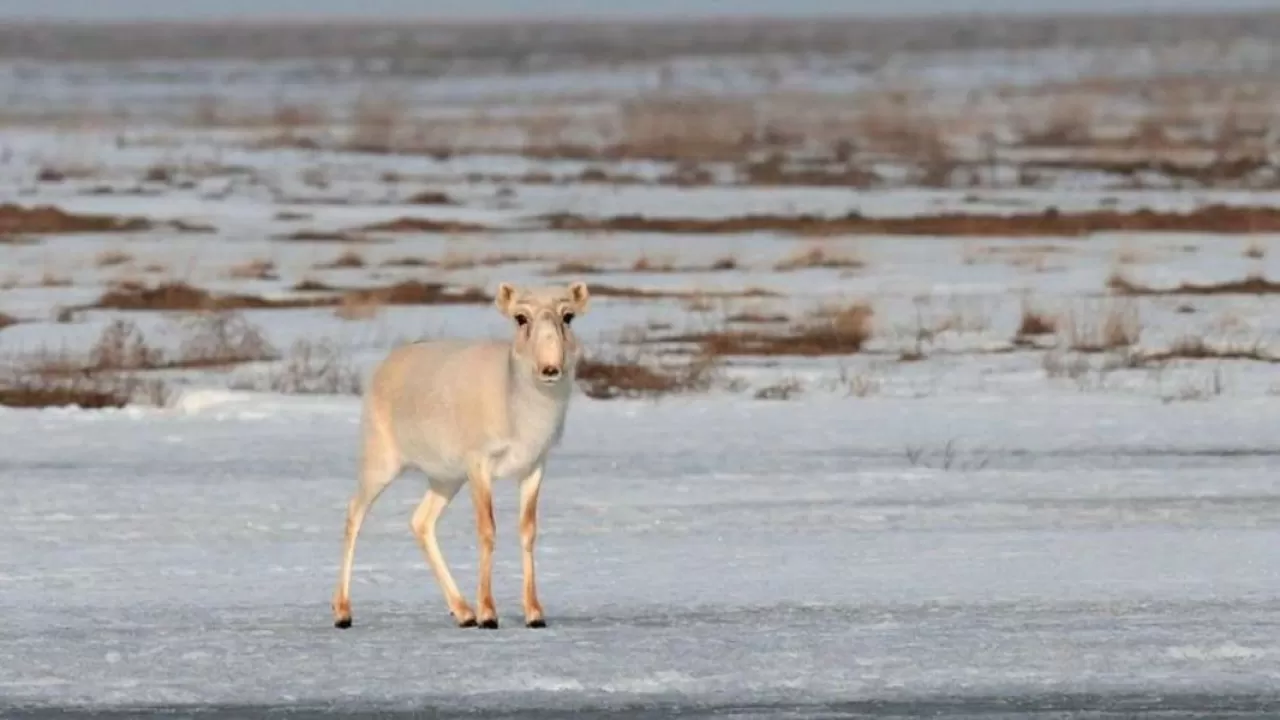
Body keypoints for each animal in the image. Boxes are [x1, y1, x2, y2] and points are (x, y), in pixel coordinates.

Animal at [330, 278, 588, 625]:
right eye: (520, 317)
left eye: (568, 316)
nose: (550, 369)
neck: (518, 402)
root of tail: (387, 364)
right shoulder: (479, 466)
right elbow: (487, 531)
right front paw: (488, 613)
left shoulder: (534, 467)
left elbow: (528, 531)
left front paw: (534, 613)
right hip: (381, 465)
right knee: (354, 515)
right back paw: (343, 611)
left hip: (446, 480)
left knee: (421, 522)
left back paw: (463, 611)